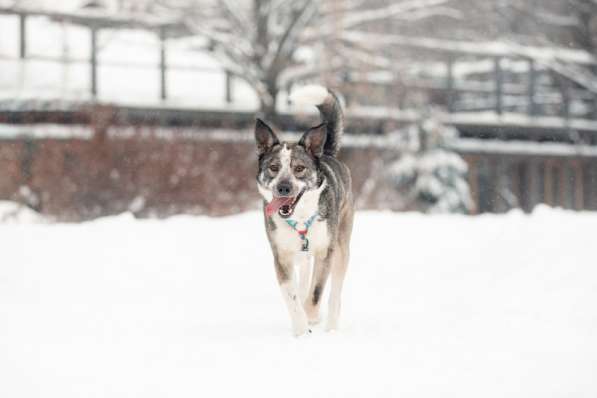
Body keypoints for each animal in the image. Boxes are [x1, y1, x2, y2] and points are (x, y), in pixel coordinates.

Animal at [253, 86, 354, 336]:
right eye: (273, 167)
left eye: (299, 168)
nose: (283, 187)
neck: (299, 219)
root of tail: (325, 152)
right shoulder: (281, 256)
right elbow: (292, 297)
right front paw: (300, 330)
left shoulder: (325, 252)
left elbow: (316, 293)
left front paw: (311, 318)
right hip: (302, 256)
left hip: (341, 247)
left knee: (334, 293)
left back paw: (331, 326)